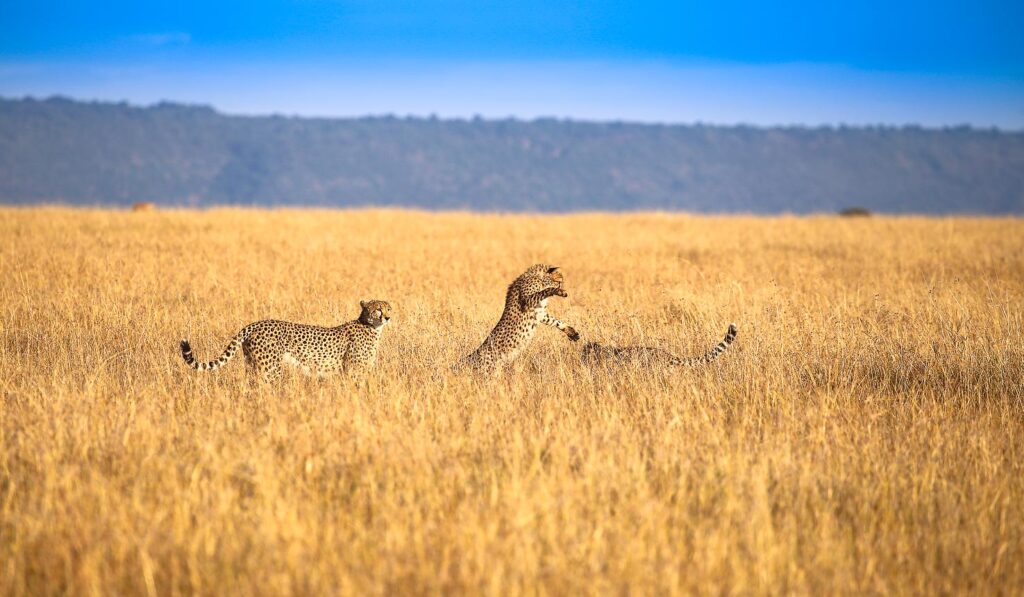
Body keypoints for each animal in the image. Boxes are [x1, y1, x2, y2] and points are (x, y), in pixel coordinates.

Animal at [180, 299, 391, 382]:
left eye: (389, 308)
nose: (388, 317)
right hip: (270, 369)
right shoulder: (353, 372)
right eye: (378, 309)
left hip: (252, 364)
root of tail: (254, 324)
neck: (371, 326)